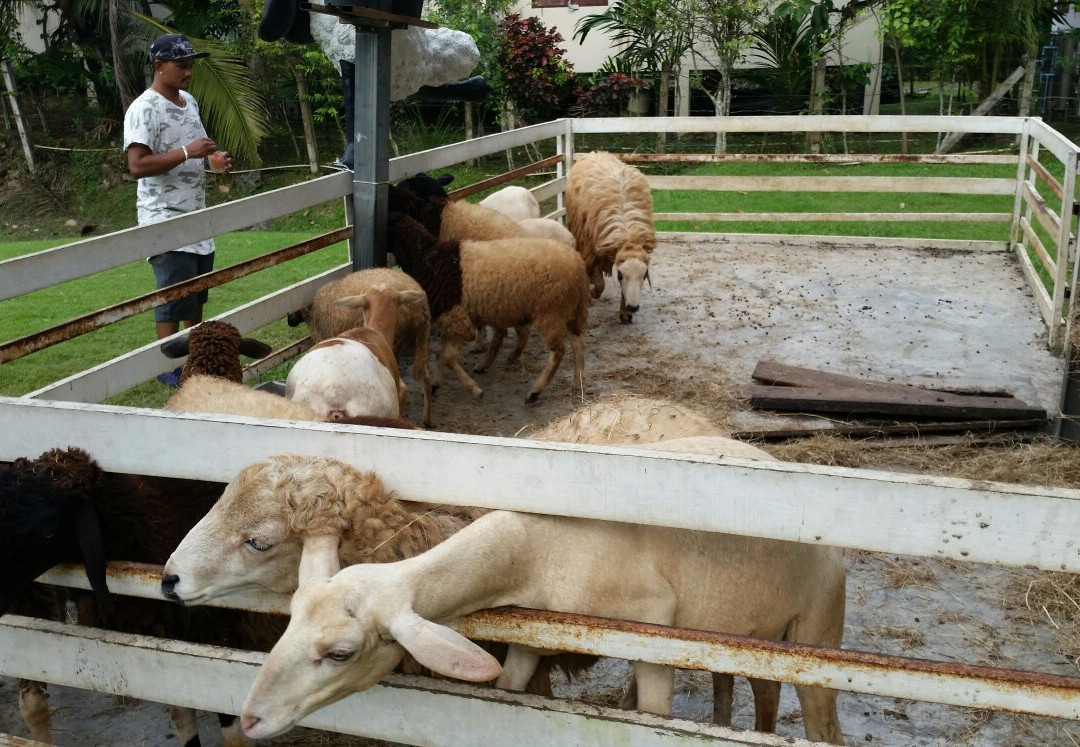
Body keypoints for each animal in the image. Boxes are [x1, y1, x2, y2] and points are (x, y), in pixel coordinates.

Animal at [240, 440, 846, 742]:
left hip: (818, 627)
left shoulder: (651, 630)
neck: (535, 545)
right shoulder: (531, 632)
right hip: (751, 633)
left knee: (823, 721)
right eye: (290, 620)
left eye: (340, 653)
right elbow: (510, 686)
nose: (248, 719)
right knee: (753, 687)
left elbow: (655, 712)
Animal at [565, 152, 656, 323]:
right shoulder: (592, 250)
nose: (633, 307)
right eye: (620, 275)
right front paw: (593, 293)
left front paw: (624, 313)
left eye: (644, 275)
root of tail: (595, 153)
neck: (627, 236)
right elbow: (600, 283)